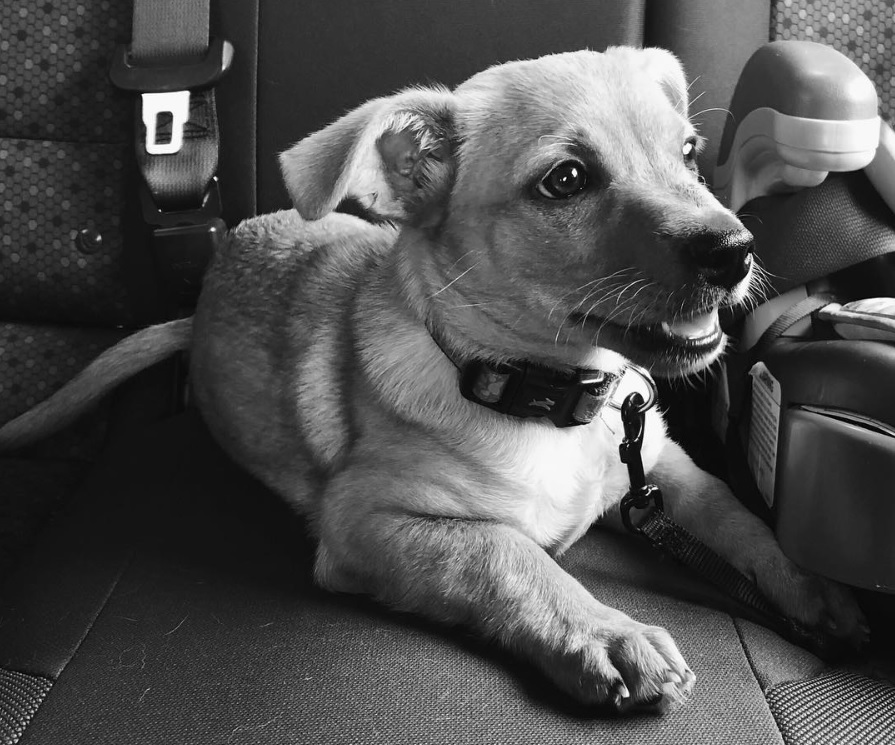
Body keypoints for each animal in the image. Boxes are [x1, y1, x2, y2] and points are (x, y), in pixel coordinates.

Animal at [0, 48, 868, 716]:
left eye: (688, 154)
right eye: (565, 180)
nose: (735, 249)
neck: (553, 398)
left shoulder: (662, 466)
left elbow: (736, 516)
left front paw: (809, 587)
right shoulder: (364, 523)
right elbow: (504, 553)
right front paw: (605, 632)